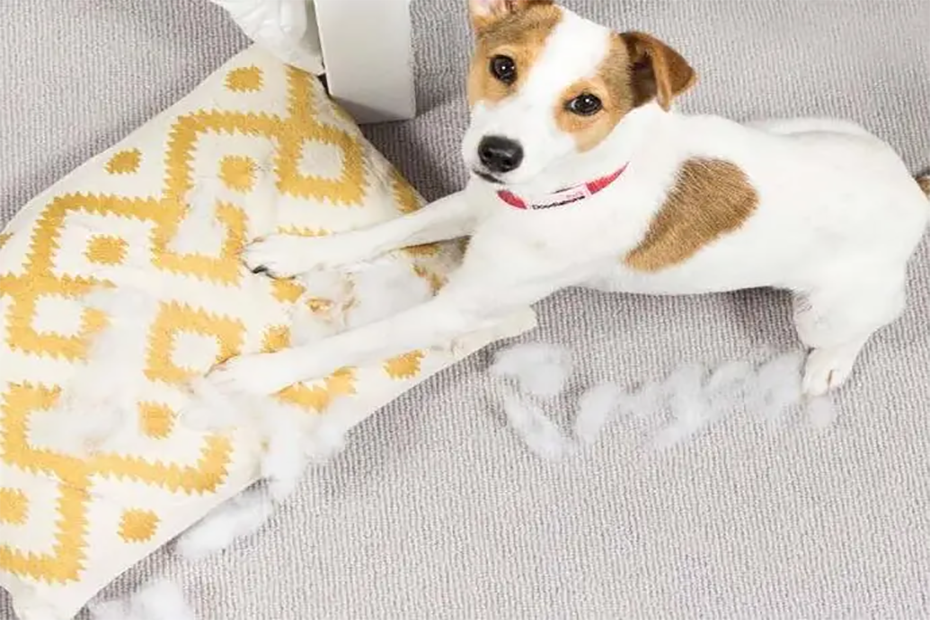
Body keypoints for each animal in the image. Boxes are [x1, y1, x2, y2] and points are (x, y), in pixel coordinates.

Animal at [205, 0, 928, 398]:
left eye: (586, 104)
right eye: (502, 66)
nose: (498, 154)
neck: (555, 193)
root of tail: (912, 187)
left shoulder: (459, 310)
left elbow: (357, 342)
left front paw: (257, 379)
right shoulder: (471, 201)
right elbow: (384, 233)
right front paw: (297, 255)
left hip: (829, 311)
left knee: (867, 323)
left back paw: (830, 365)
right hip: (798, 125)